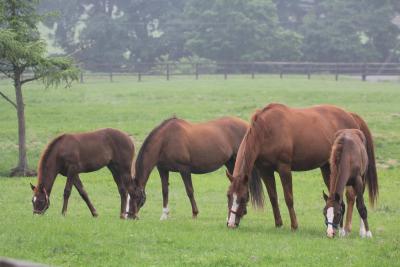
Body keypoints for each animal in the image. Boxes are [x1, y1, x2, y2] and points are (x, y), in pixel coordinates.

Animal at [128, 116, 260, 221]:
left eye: (136, 196)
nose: (130, 216)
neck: (166, 140)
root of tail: (248, 126)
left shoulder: (184, 169)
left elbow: (189, 191)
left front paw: (195, 213)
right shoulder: (163, 170)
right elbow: (165, 191)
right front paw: (164, 215)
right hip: (231, 162)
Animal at [227, 103, 376, 231]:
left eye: (243, 198)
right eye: (228, 195)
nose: (231, 223)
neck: (265, 130)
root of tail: (350, 115)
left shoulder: (284, 169)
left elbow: (289, 198)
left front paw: (294, 225)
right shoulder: (265, 171)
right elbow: (273, 197)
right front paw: (278, 223)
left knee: (352, 196)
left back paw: (352, 229)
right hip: (328, 168)